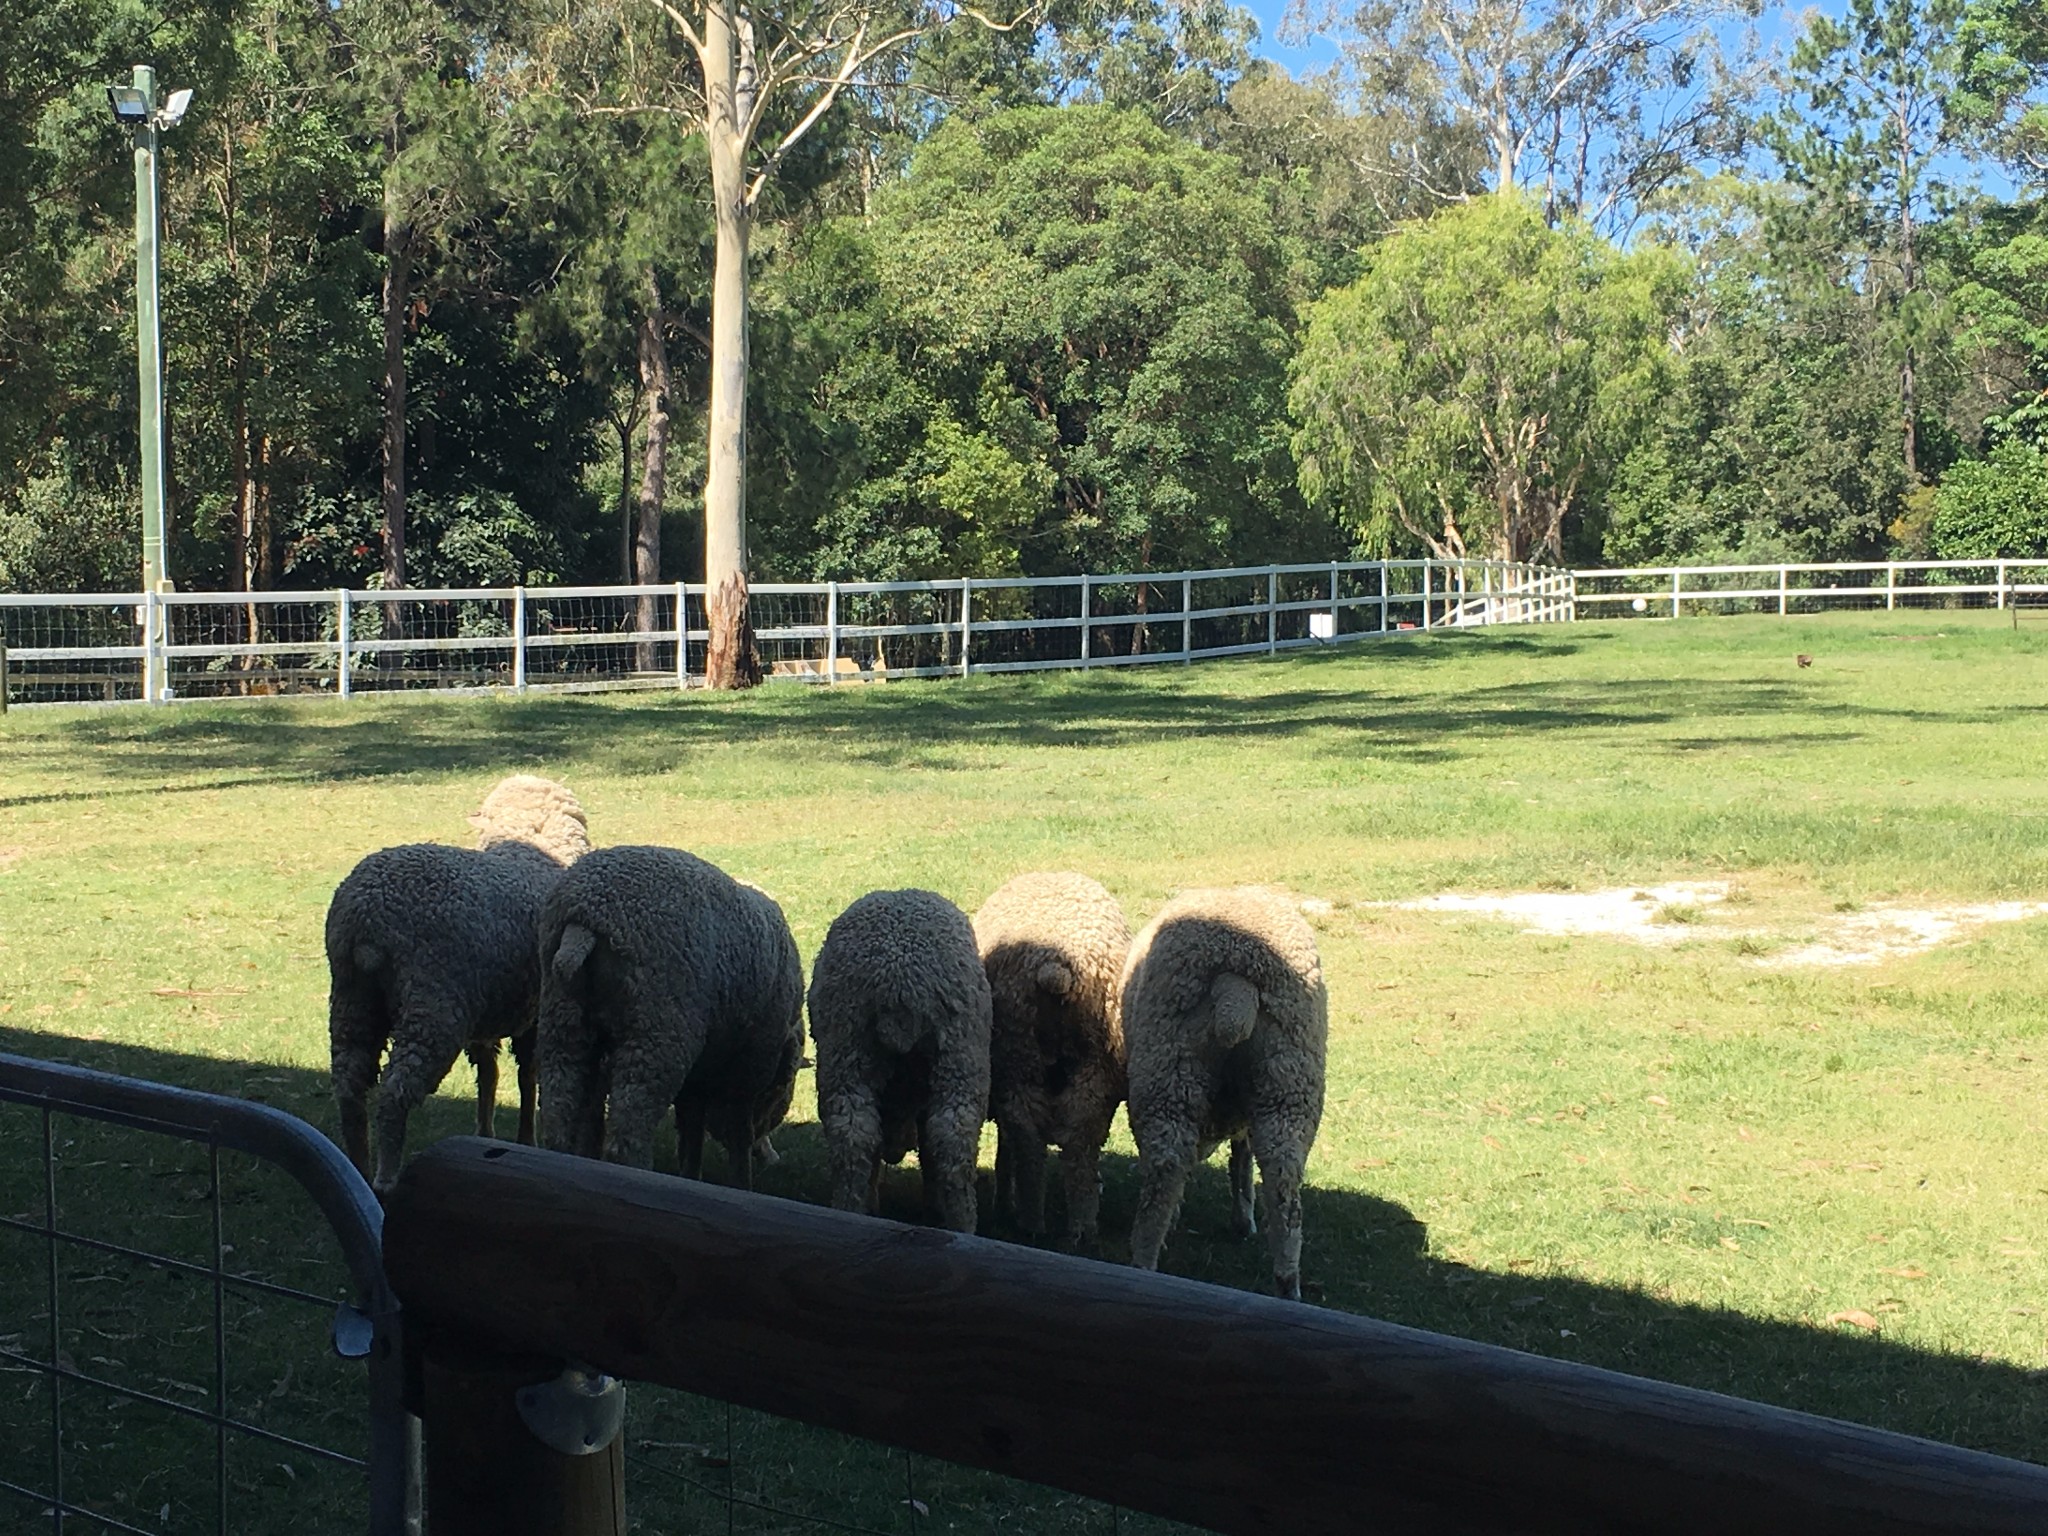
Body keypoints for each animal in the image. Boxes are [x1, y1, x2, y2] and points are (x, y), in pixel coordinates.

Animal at [323, 774, 589, 1196]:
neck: (530, 850)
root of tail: (367, 920)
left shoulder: (486, 1015)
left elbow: (488, 1074)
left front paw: (485, 1133)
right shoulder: (533, 1014)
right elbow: (527, 1077)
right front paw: (525, 1139)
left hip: (353, 999)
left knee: (349, 1086)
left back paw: (358, 1168)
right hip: (433, 1003)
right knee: (394, 1093)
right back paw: (386, 1176)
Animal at [536, 847, 798, 1187]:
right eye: (782, 1090)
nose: (767, 1155)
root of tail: (584, 919)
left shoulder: (700, 1074)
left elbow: (691, 1131)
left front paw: (691, 1176)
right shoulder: (750, 1064)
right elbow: (737, 1130)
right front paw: (742, 1180)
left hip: (562, 1022)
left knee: (557, 1118)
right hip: (657, 1033)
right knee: (628, 1136)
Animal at [806, 888, 991, 1236]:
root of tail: (899, 979)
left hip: (850, 1046)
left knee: (856, 1135)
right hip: (957, 1054)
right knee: (949, 1137)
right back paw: (961, 1225)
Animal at [966, 876, 1130, 1253]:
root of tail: (1056, 969)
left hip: (1020, 1059)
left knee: (1030, 1145)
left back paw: (1030, 1221)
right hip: (1091, 1072)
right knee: (1077, 1150)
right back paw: (1081, 1227)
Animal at [1122, 888, 1327, 1302]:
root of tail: (1234, 988)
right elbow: (1242, 1157)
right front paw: (1243, 1216)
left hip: (1168, 1070)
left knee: (1165, 1169)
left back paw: (1144, 1261)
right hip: (1290, 1078)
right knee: (1284, 1186)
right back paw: (1288, 1284)